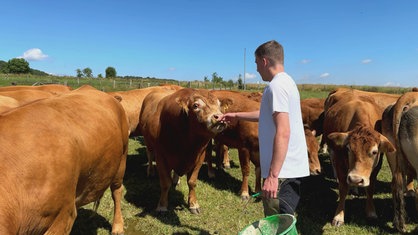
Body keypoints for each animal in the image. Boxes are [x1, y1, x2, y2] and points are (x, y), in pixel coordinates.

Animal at [324, 93, 396, 226]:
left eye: (374, 152)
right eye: (348, 149)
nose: (355, 179)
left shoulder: (376, 166)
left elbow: (370, 188)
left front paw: (371, 212)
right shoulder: (340, 161)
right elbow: (343, 189)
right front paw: (339, 216)